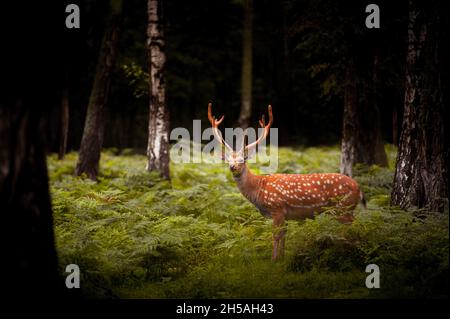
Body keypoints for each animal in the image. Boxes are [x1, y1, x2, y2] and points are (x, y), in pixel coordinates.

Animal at [208, 104, 366, 262]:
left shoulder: (277, 208)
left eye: (242, 160)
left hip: (343, 206)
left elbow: (276, 235)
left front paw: (273, 259)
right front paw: (282, 258)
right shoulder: (285, 214)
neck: (259, 189)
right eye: (228, 160)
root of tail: (358, 188)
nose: (232, 167)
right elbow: (284, 235)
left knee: (356, 225)